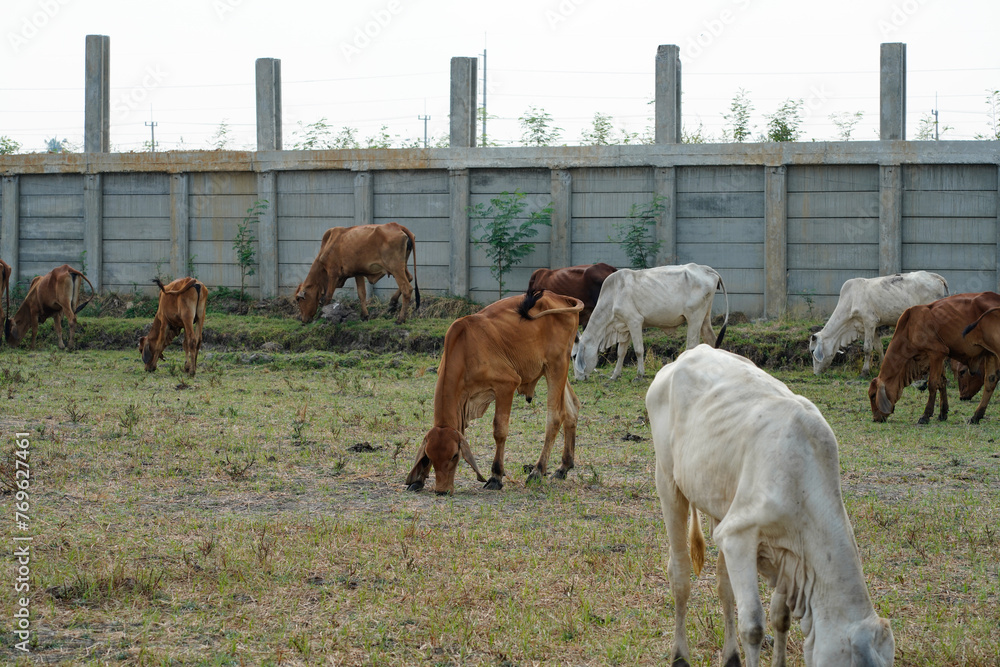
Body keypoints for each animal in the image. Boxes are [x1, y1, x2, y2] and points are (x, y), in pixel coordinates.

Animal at [405, 289, 583, 495]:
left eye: (455, 455)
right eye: (430, 457)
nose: (442, 490)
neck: (465, 351)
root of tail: (560, 297)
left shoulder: (506, 385)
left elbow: (499, 431)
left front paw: (496, 476)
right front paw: (419, 480)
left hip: (556, 365)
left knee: (555, 417)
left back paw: (538, 471)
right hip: (556, 370)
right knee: (572, 408)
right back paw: (564, 467)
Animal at [573, 263, 729, 381]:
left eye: (574, 356)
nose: (577, 379)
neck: (613, 296)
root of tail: (705, 268)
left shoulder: (635, 321)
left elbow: (638, 350)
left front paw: (639, 375)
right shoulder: (625, 327)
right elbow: (621, 352)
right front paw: (615, 375)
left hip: (694, 317)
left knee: (691, 345)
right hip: (704, 318)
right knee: (711, 340)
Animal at [648, 345, 895, 667]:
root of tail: (686, 355)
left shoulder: (786, 553)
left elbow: (781, 616)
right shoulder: (739, 536)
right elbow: (753, 626)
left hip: (719, 503)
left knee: (724, 585)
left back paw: (731, 657)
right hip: (668, 482)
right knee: (679, 574)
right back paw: (680, 656)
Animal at [809, 271, 949, 376]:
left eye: (812, 351)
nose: (815, 373)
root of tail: (934, 276)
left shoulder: (869, 322)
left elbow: (867, 348)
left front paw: (864, 372)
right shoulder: (871, 327)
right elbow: (879, 347)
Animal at [869, 292, 1000, 424]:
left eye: (873, 395)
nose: (875, 418)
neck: (909, 328)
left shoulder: (936, 353)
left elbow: (932, 384)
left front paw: (925, 416)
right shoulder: (939, 357)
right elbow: (942, 382)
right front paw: (942, 413)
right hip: (991, 353)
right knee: (990, 381)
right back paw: (976, 416)